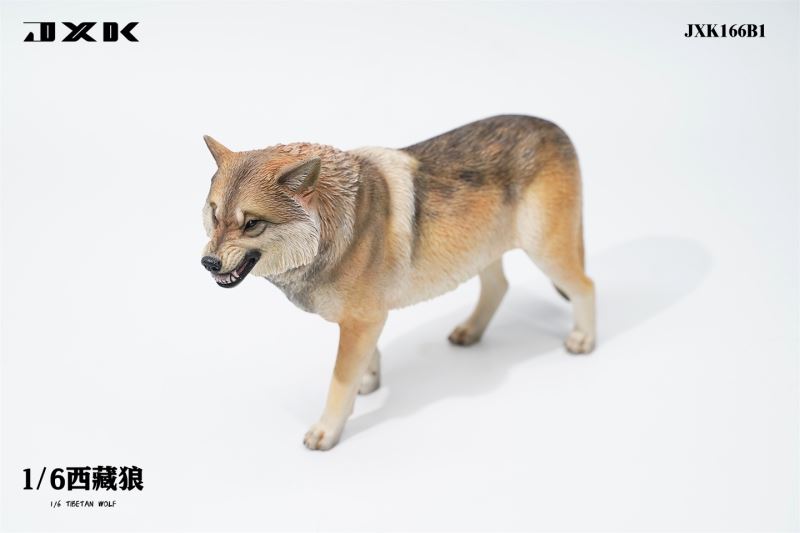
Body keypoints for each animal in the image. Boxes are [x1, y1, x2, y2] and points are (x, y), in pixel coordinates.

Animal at [200, 115, 596, 450]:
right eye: (215, 215)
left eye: (252, 224)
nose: (208, 262)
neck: (338, 225)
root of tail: (555, 127)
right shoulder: (365, 319)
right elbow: (367, 359)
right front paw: (369, 383)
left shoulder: (362, 320)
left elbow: (338, 380)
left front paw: (327, 431)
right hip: (481, 252)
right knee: (499, 287)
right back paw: (469, 332)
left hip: (547, 252)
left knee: (585, 286)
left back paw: (584, 340)